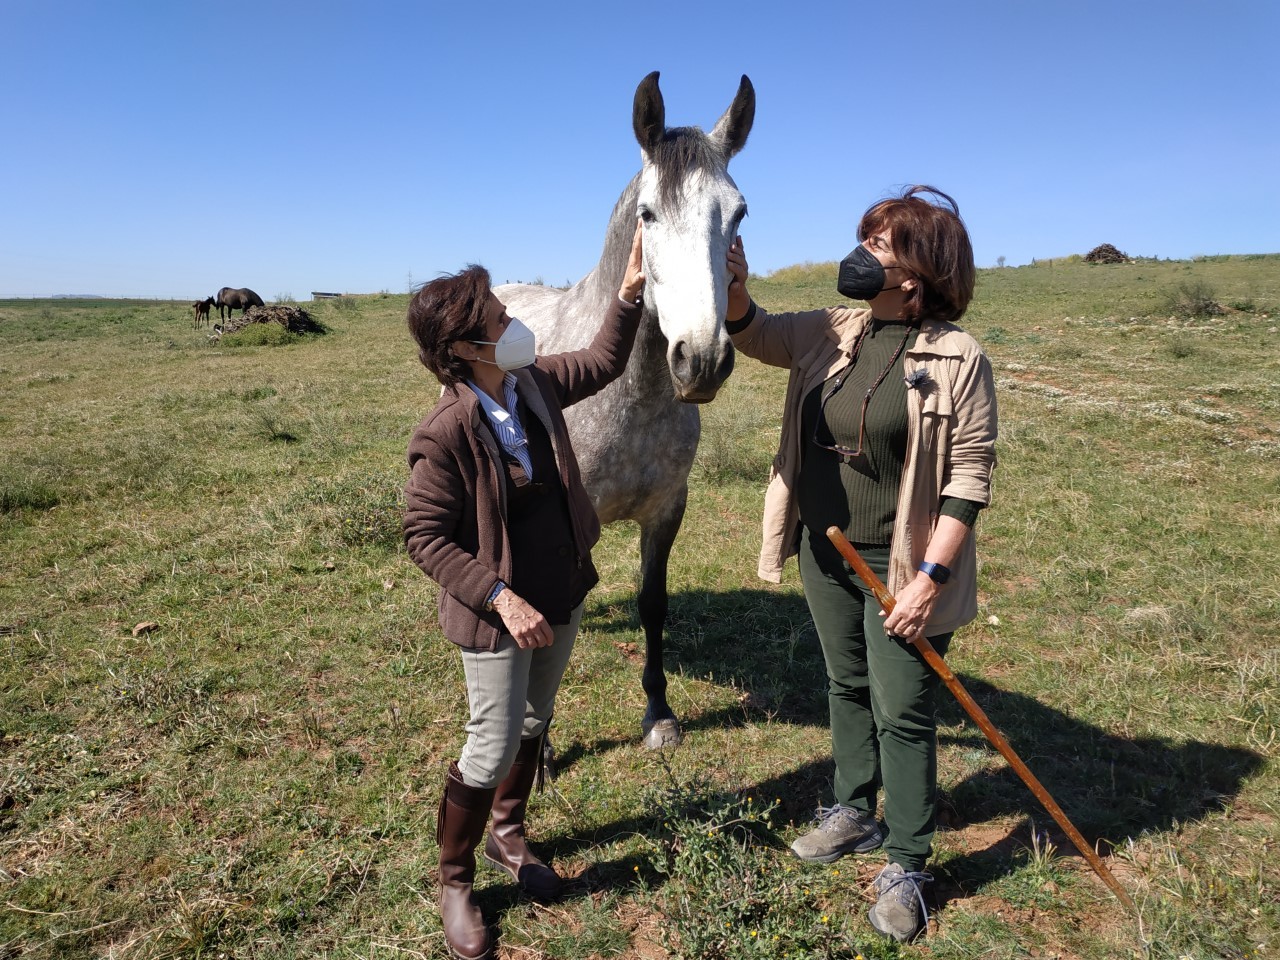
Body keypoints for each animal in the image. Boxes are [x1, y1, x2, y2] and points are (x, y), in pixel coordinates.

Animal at [488, 73, 747, 752]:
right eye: (647, 214)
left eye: (738, 212)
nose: (700, 358)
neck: (630, 399)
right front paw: (541, 741)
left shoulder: (666, 510)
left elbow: (652, 603)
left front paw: (659, 713)